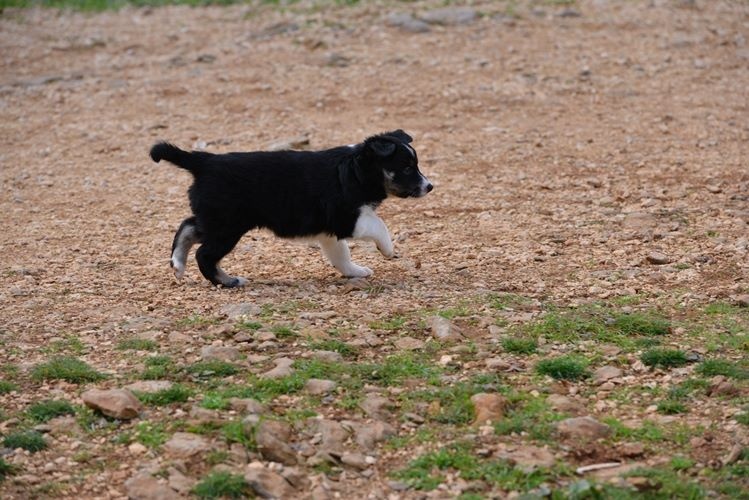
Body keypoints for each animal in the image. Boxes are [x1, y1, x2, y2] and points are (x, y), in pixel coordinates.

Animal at [150, 129, 432, 288]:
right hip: (227, 226)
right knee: (205, 255)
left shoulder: (329, 231)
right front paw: (388, 250)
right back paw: (230, 281)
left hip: (216, 219)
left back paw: (178, 264)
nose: (429, 186)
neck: (356, 170)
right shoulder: (347, 217)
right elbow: (378, 224)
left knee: (187, 227)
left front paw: (355, 272)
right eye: (407, 167)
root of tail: (204, 161)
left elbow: (340, 255)